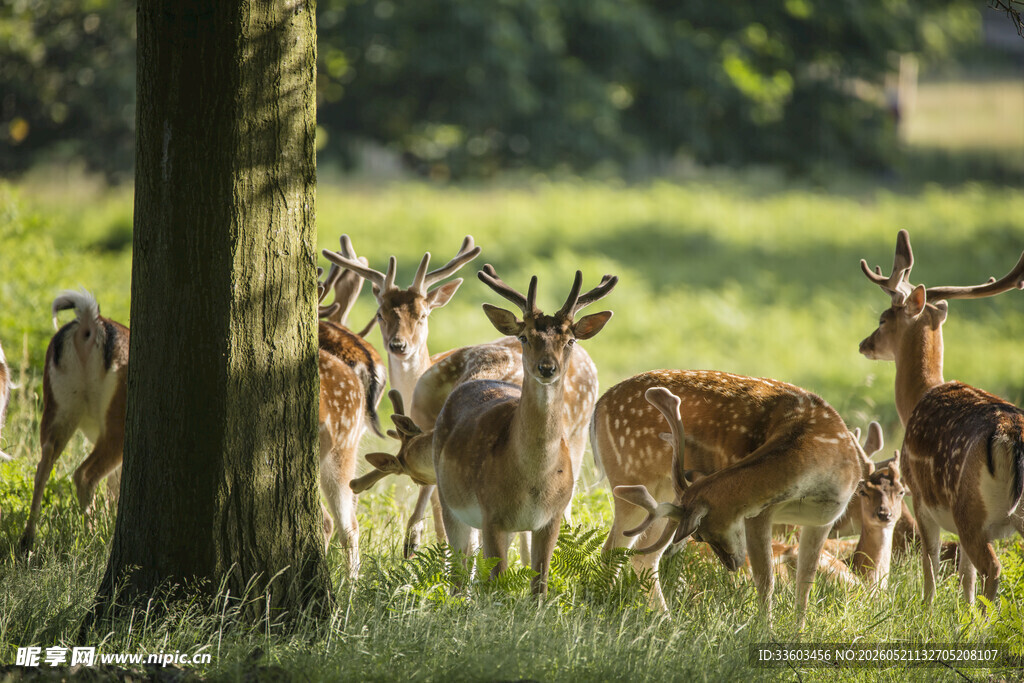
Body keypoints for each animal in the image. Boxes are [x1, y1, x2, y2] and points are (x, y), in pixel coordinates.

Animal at [20, 290, 130, 553]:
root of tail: (89, 323)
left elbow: (114, 488)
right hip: (117, 424)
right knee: (85, 473)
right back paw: (94, 538)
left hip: (59, 407)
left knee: (42, 466)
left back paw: (27, 541)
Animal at [431, 266, 616, 595]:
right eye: (524, 337)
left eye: (570, 340)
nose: (547, 368)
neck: (533, 480)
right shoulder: (491, 513)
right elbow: (497, 583)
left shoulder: (551, 518)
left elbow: (539, 585)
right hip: (448, 498)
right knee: (459, 571)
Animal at [603, 379, 867, 626]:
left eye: (698, 534)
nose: (730, 564)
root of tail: (600, 404)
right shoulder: (759, 514)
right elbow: (765, 580)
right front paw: (766, 630)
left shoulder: (822, 520)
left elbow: (804, 584)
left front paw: (797, 632)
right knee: (617, 549)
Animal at [858, 229, 1024, 607]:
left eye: (883, 319)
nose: (864, 344)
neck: (917, 398)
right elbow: (965, 576)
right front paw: (963, 612)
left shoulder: (919, 495)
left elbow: (930, 562)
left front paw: (927, 608)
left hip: (969, 507)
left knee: (992, 567)